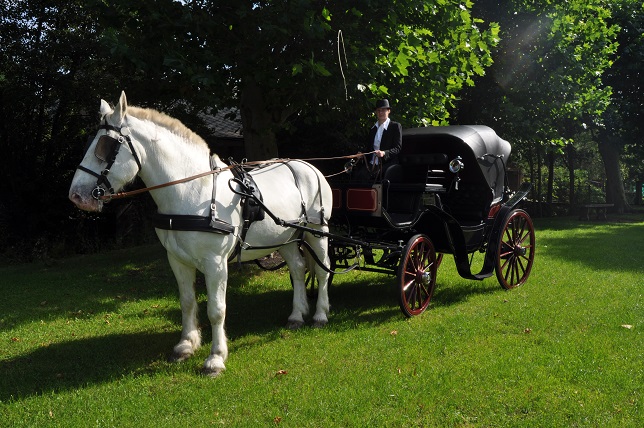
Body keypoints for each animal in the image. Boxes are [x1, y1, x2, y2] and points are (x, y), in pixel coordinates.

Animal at [69, 92, 332, 376]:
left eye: (105, 146)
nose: (76, 195)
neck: (193, 191)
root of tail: (308, 167)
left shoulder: (215, 263)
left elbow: (216, 309)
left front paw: (215, 358)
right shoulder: (177, 260)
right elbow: (187, 301)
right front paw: (186, 345)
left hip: (318, 232)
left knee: (322, 270)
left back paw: (320, 315)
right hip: (286, 237)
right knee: (297, 268)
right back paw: (296, 315)